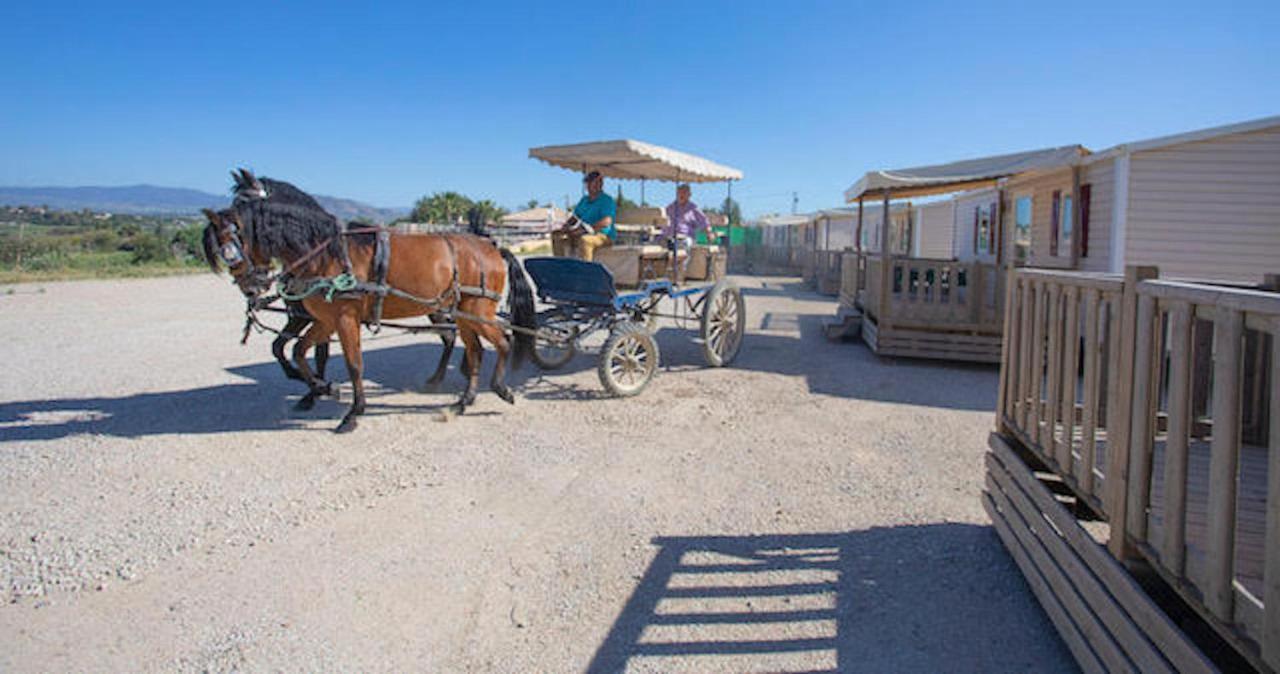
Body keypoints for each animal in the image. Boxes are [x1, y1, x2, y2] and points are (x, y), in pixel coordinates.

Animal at [206, 168, 535, 432]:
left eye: (240, 214)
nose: (249, 284)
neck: (325, 252)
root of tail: (491, 246)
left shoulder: (343, 318)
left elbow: (353, 363)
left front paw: (352, 412)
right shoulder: (324, 319)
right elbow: (299, 351)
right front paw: (321, 388)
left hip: (478, 310)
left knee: (502, 341)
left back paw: (500, 388)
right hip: (463, 313)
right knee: (474, 350)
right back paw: (464, 400)